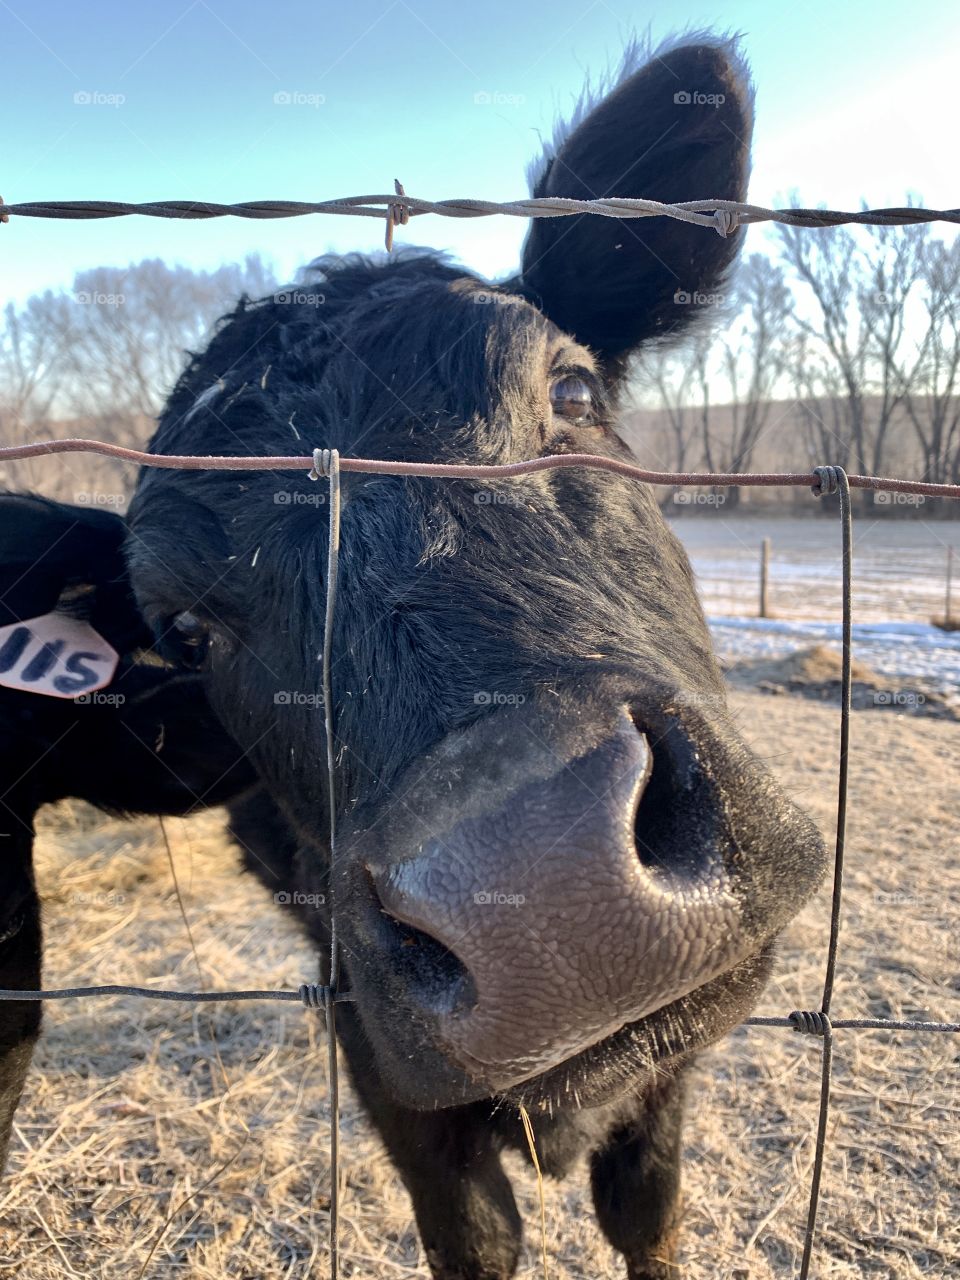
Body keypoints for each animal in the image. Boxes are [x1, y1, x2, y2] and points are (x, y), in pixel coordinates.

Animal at [3, 37, 829, 1280]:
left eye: (571, 388)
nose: (551, 894)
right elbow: (474, 1231)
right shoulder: (374, 1028)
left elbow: (648, 1206)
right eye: (185, 628)